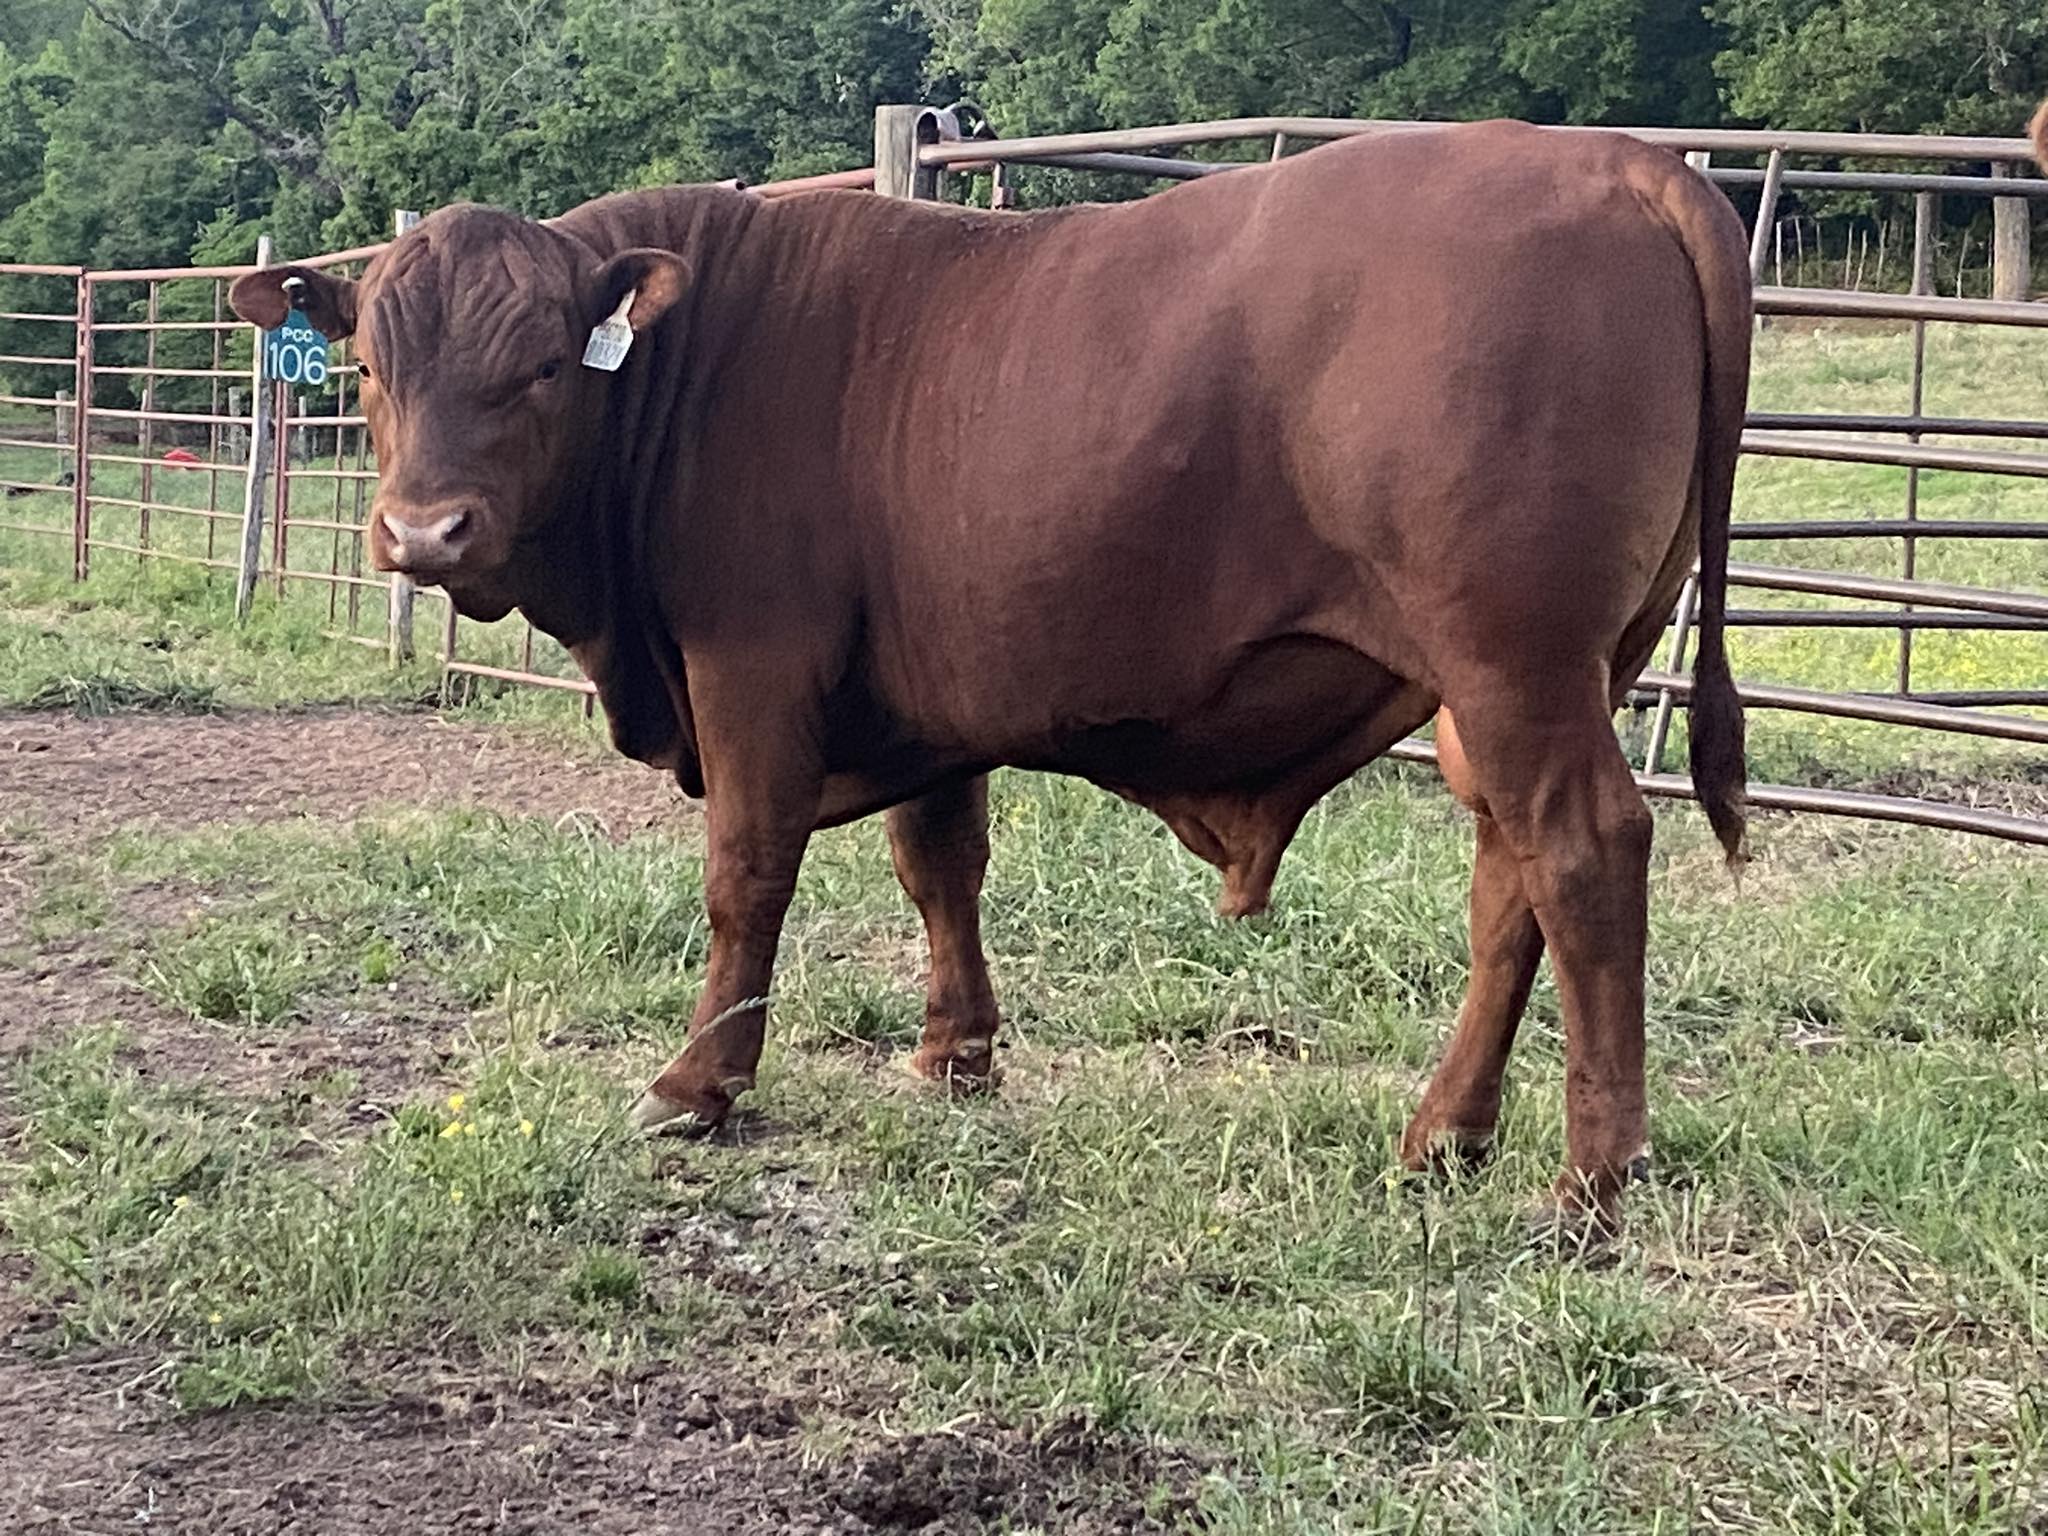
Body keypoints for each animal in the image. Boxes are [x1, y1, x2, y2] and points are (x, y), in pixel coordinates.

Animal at [230, 121, 1751, 1237]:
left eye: (546, 364)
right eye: (368, 366)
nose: (423, 534)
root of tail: (1618, 160)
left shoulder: (755, 668)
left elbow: (746, 876)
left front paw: (698, 1084)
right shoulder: (921, 693)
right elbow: (939, 861)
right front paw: (954, 1055)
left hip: (1513, 663)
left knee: (1582, 854)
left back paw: (1589, 1181)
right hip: (1527, 681)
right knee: (1509, 883)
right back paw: (1443, 1136)